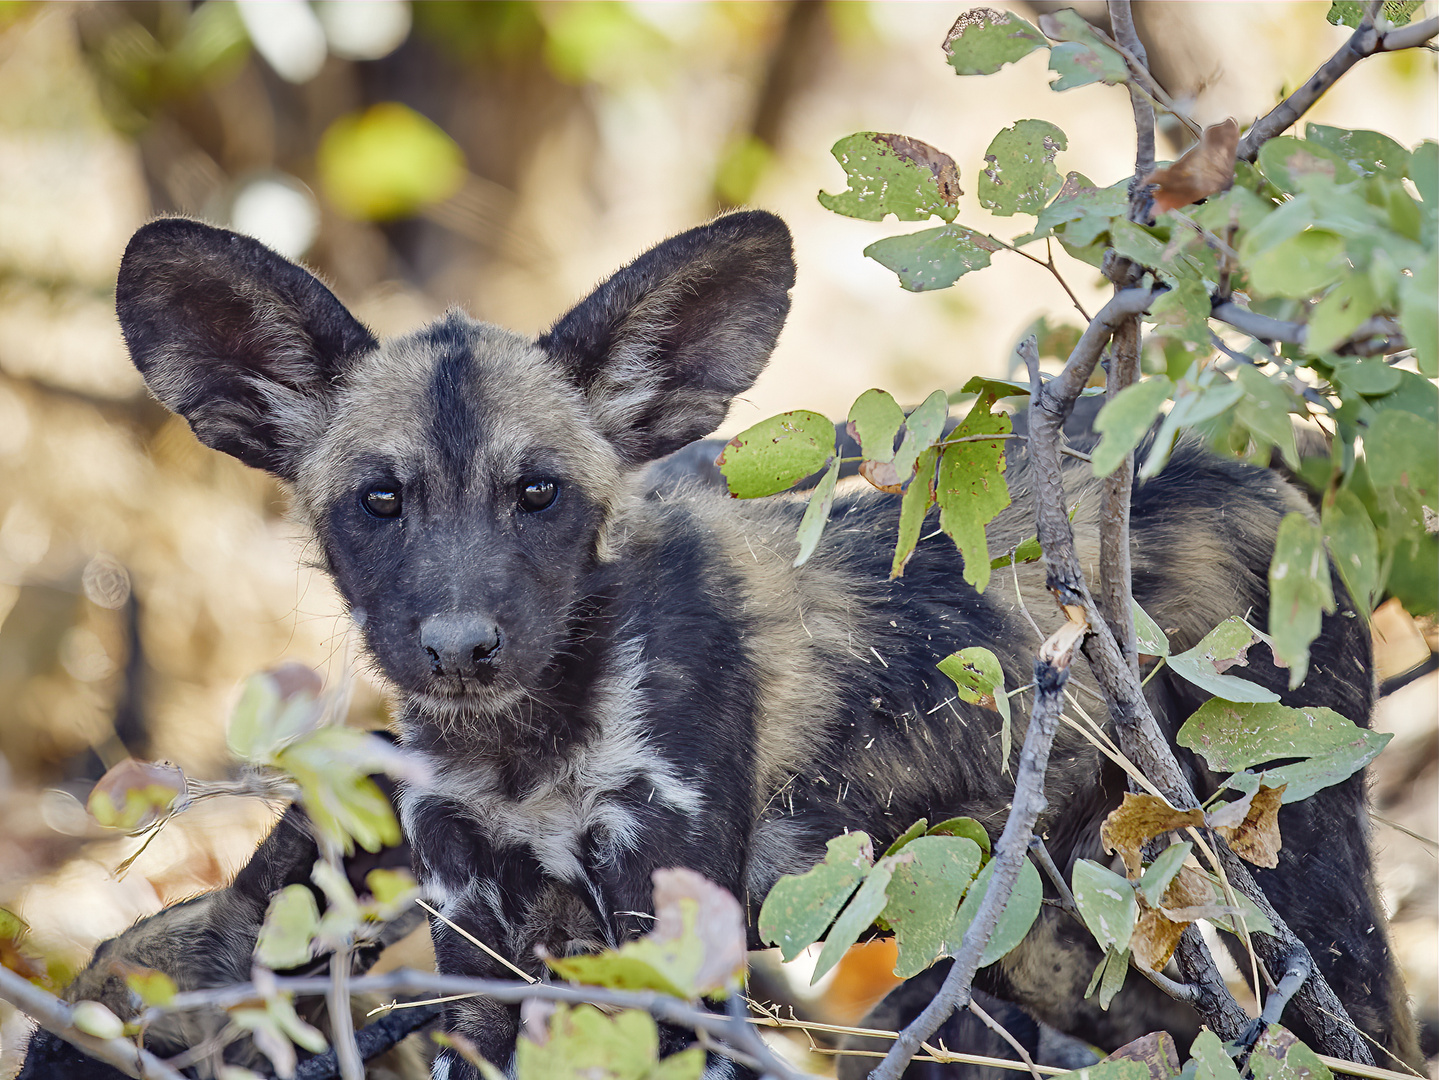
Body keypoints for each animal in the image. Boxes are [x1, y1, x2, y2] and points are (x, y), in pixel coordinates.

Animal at [33, 211, 1415, 1080]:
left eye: (539, 495)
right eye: (378, 500)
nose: (462, 648)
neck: (526, 741)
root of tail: (1266, 468)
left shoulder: (671, 917)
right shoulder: (483, 938)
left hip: (1291, 876)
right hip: (1043, 921)